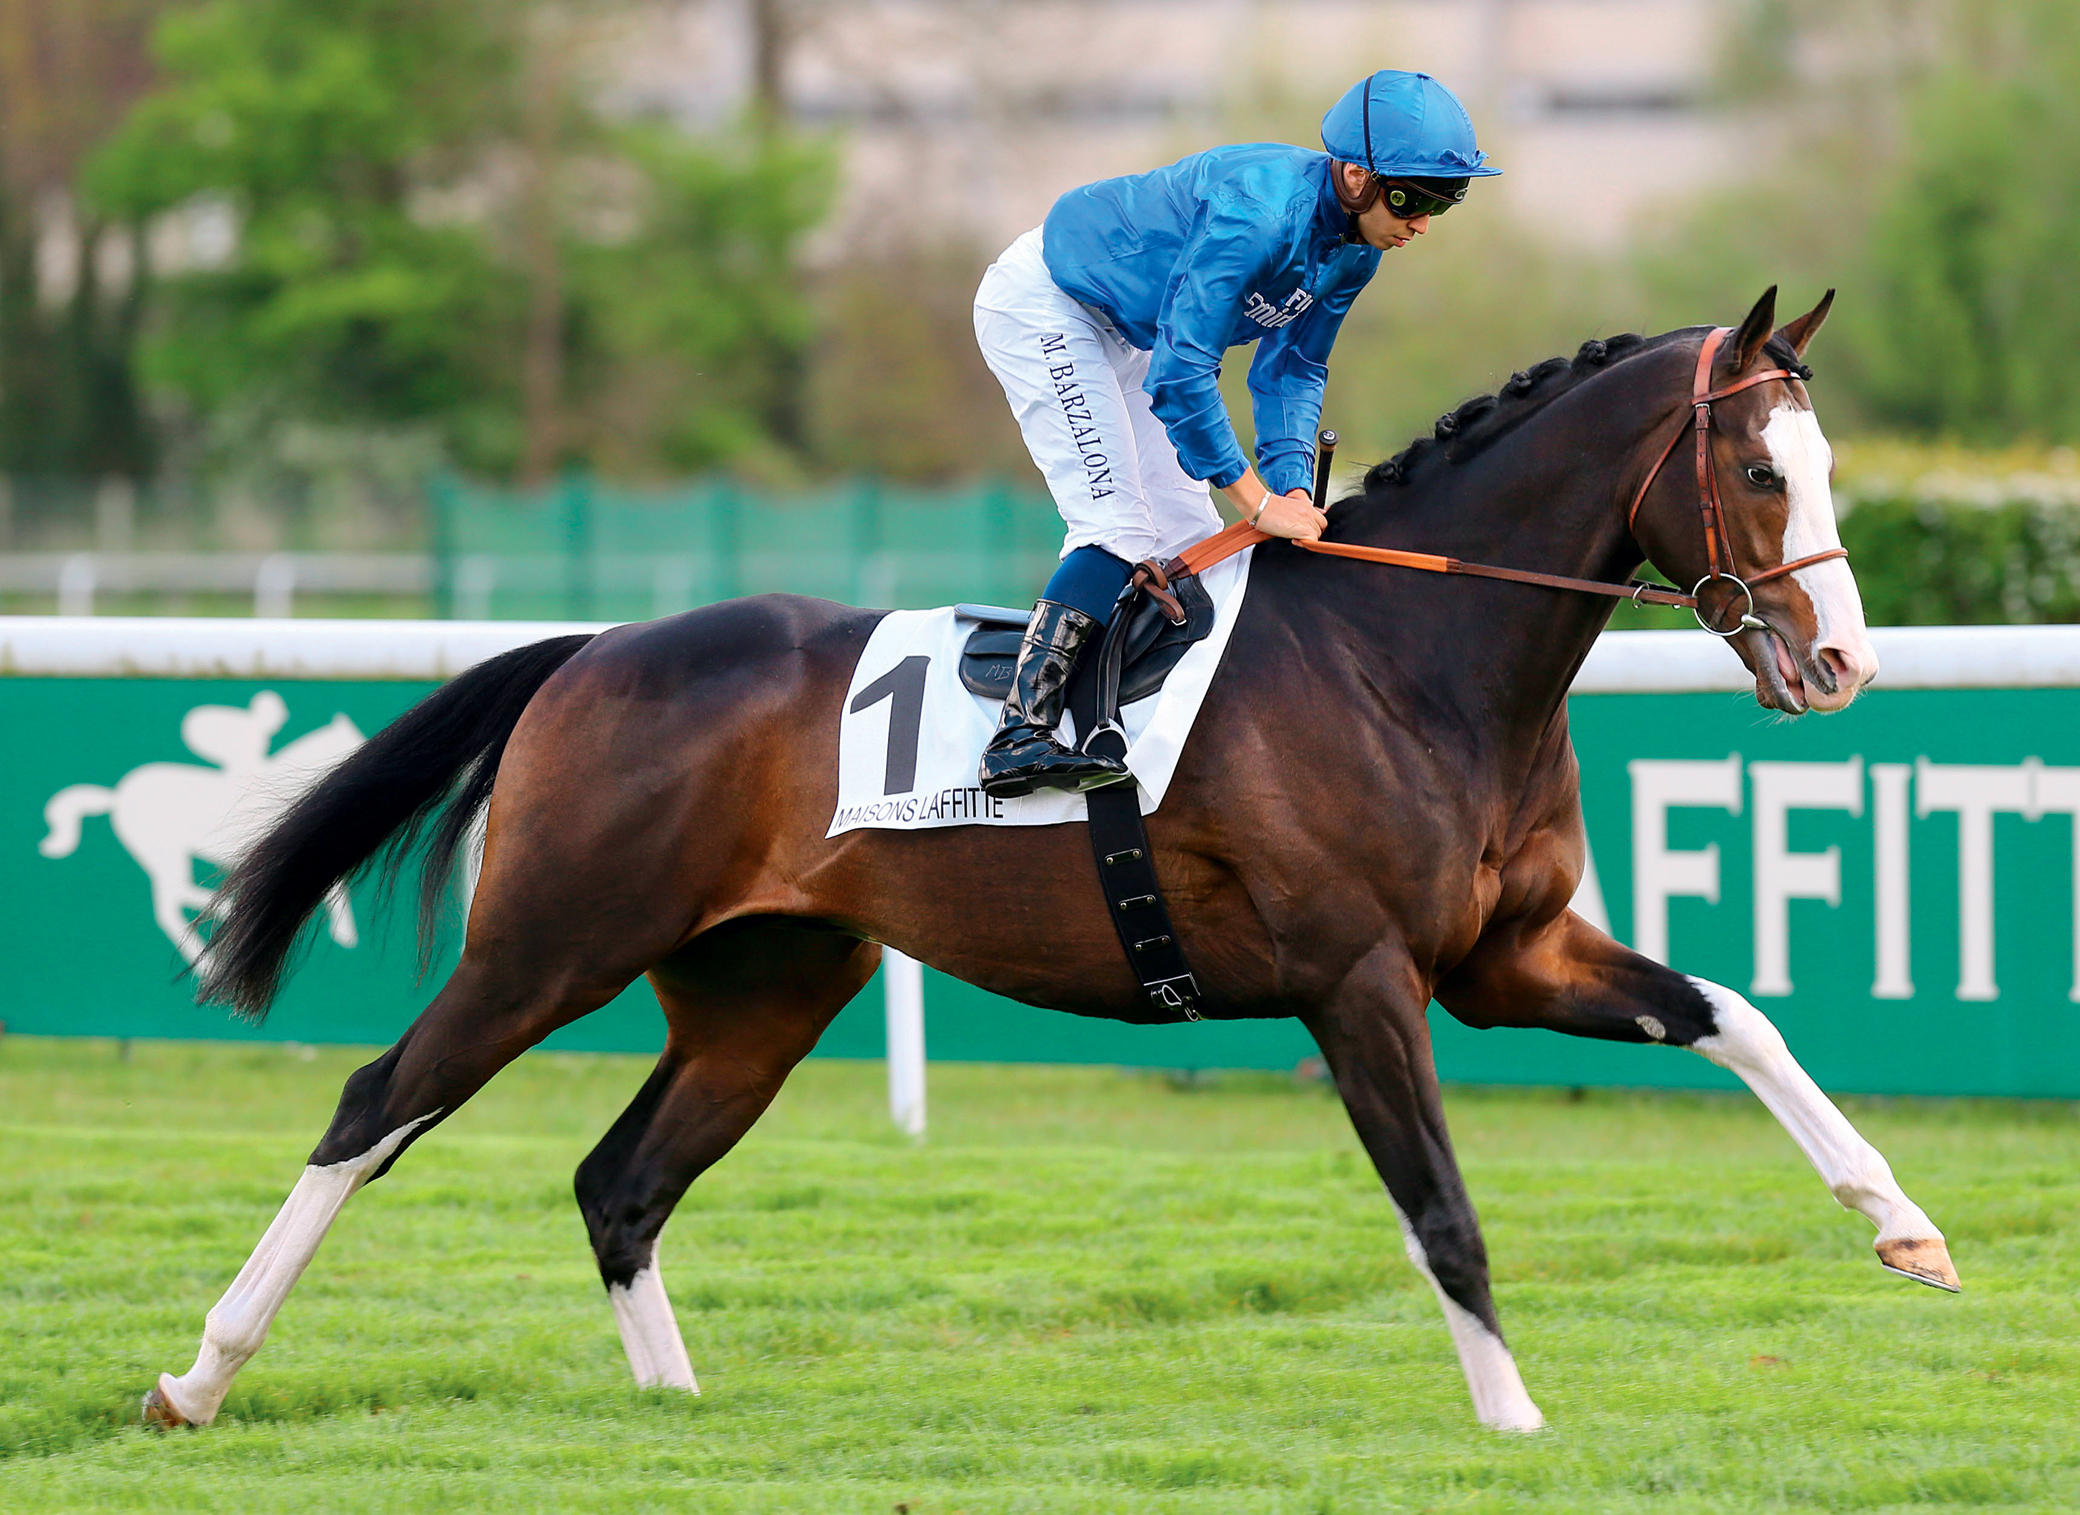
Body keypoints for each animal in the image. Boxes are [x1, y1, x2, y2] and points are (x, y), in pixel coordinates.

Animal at [143, 288, 1956, 1436]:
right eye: (1759, 468)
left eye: (1828, 469)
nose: (1846, 662)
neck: (1413, 653)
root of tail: (592, 650)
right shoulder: (1360, 977)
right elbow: (1441, 1201)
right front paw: (1511, 1415)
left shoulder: (1504, 961)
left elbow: (1736, 1015)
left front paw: (1904, 1225)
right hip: (550, 939)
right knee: (374, 1107)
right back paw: (197, 1376)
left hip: (763, 988)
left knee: (619, 1179)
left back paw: (674, 1403)